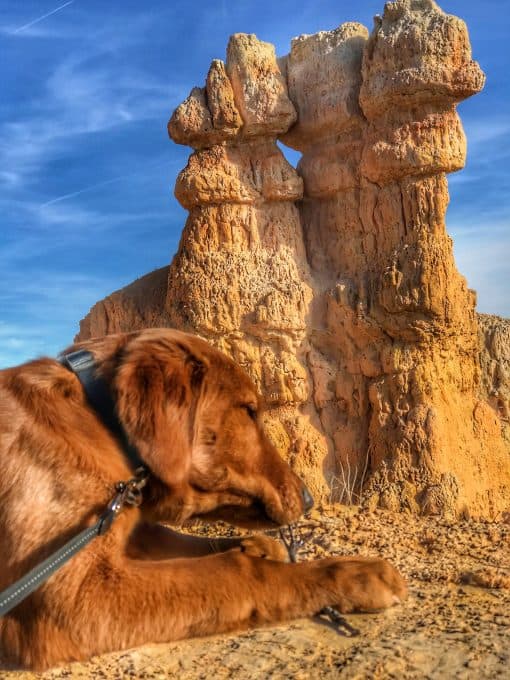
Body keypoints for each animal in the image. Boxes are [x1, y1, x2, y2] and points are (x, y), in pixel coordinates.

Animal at [0, 330, 406, 668]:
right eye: (249, 411)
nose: (308, 500)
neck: (98, 419)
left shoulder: (125, 527)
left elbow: (186, 541)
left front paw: (256, 545)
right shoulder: (76, 598)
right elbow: (238, 570)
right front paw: (352, 571)